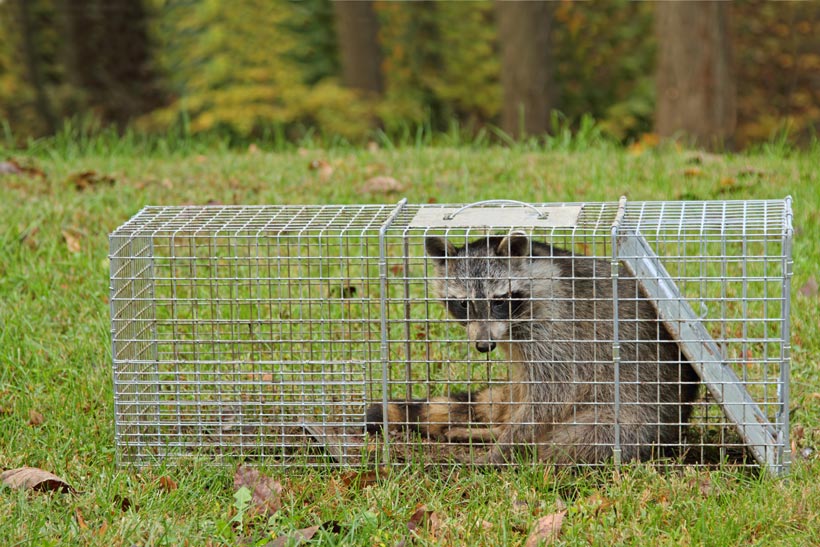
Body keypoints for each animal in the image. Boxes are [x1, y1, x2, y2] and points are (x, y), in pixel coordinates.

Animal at [368, 233, 700, 464]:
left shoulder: (557, 326)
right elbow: (524, 390)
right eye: (463, 304)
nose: (484, 345)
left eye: (499, 301)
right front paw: (500, 434)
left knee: (576, 440)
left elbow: (553, 394)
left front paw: (503, 449)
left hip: (637, 418)